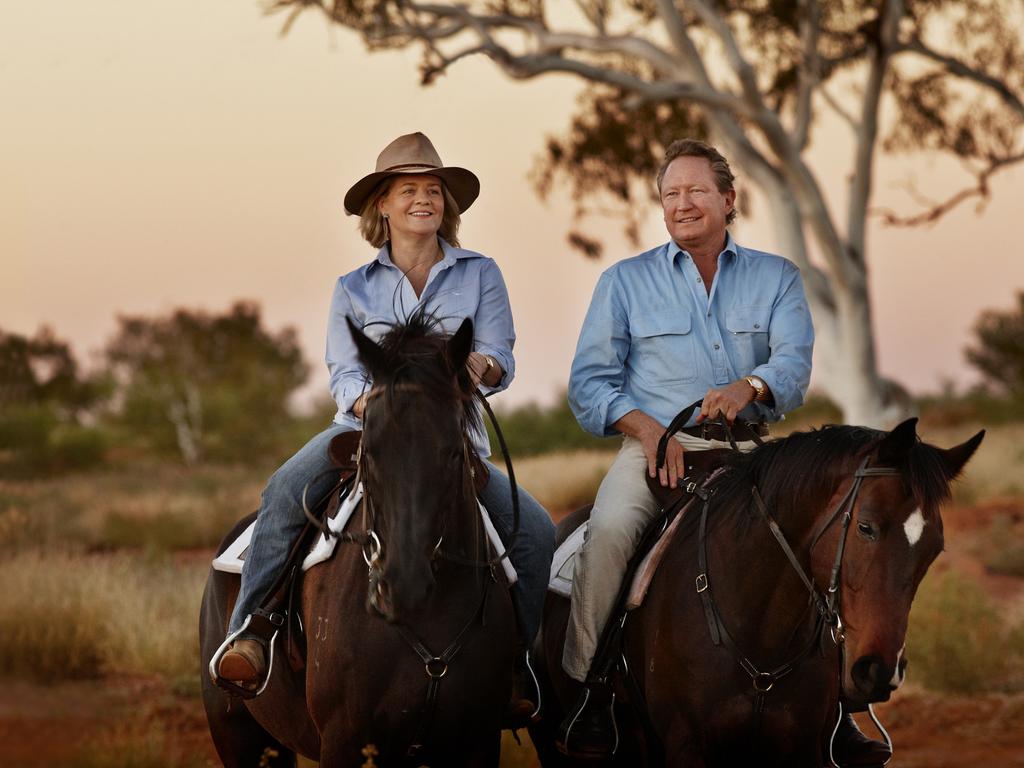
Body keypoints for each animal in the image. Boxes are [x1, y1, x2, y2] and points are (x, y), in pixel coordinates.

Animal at [201, 315, 520, 765]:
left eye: (455, 453)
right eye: (367, 452)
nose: (403, 584)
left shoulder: (477, 741)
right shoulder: (345, 741)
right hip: (239, 734)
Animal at [532, 417, 978, 765]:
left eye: (934, 548)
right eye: (866, 527)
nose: (880, 671)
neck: (760, 627)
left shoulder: (801, 748)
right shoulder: (688, 747)